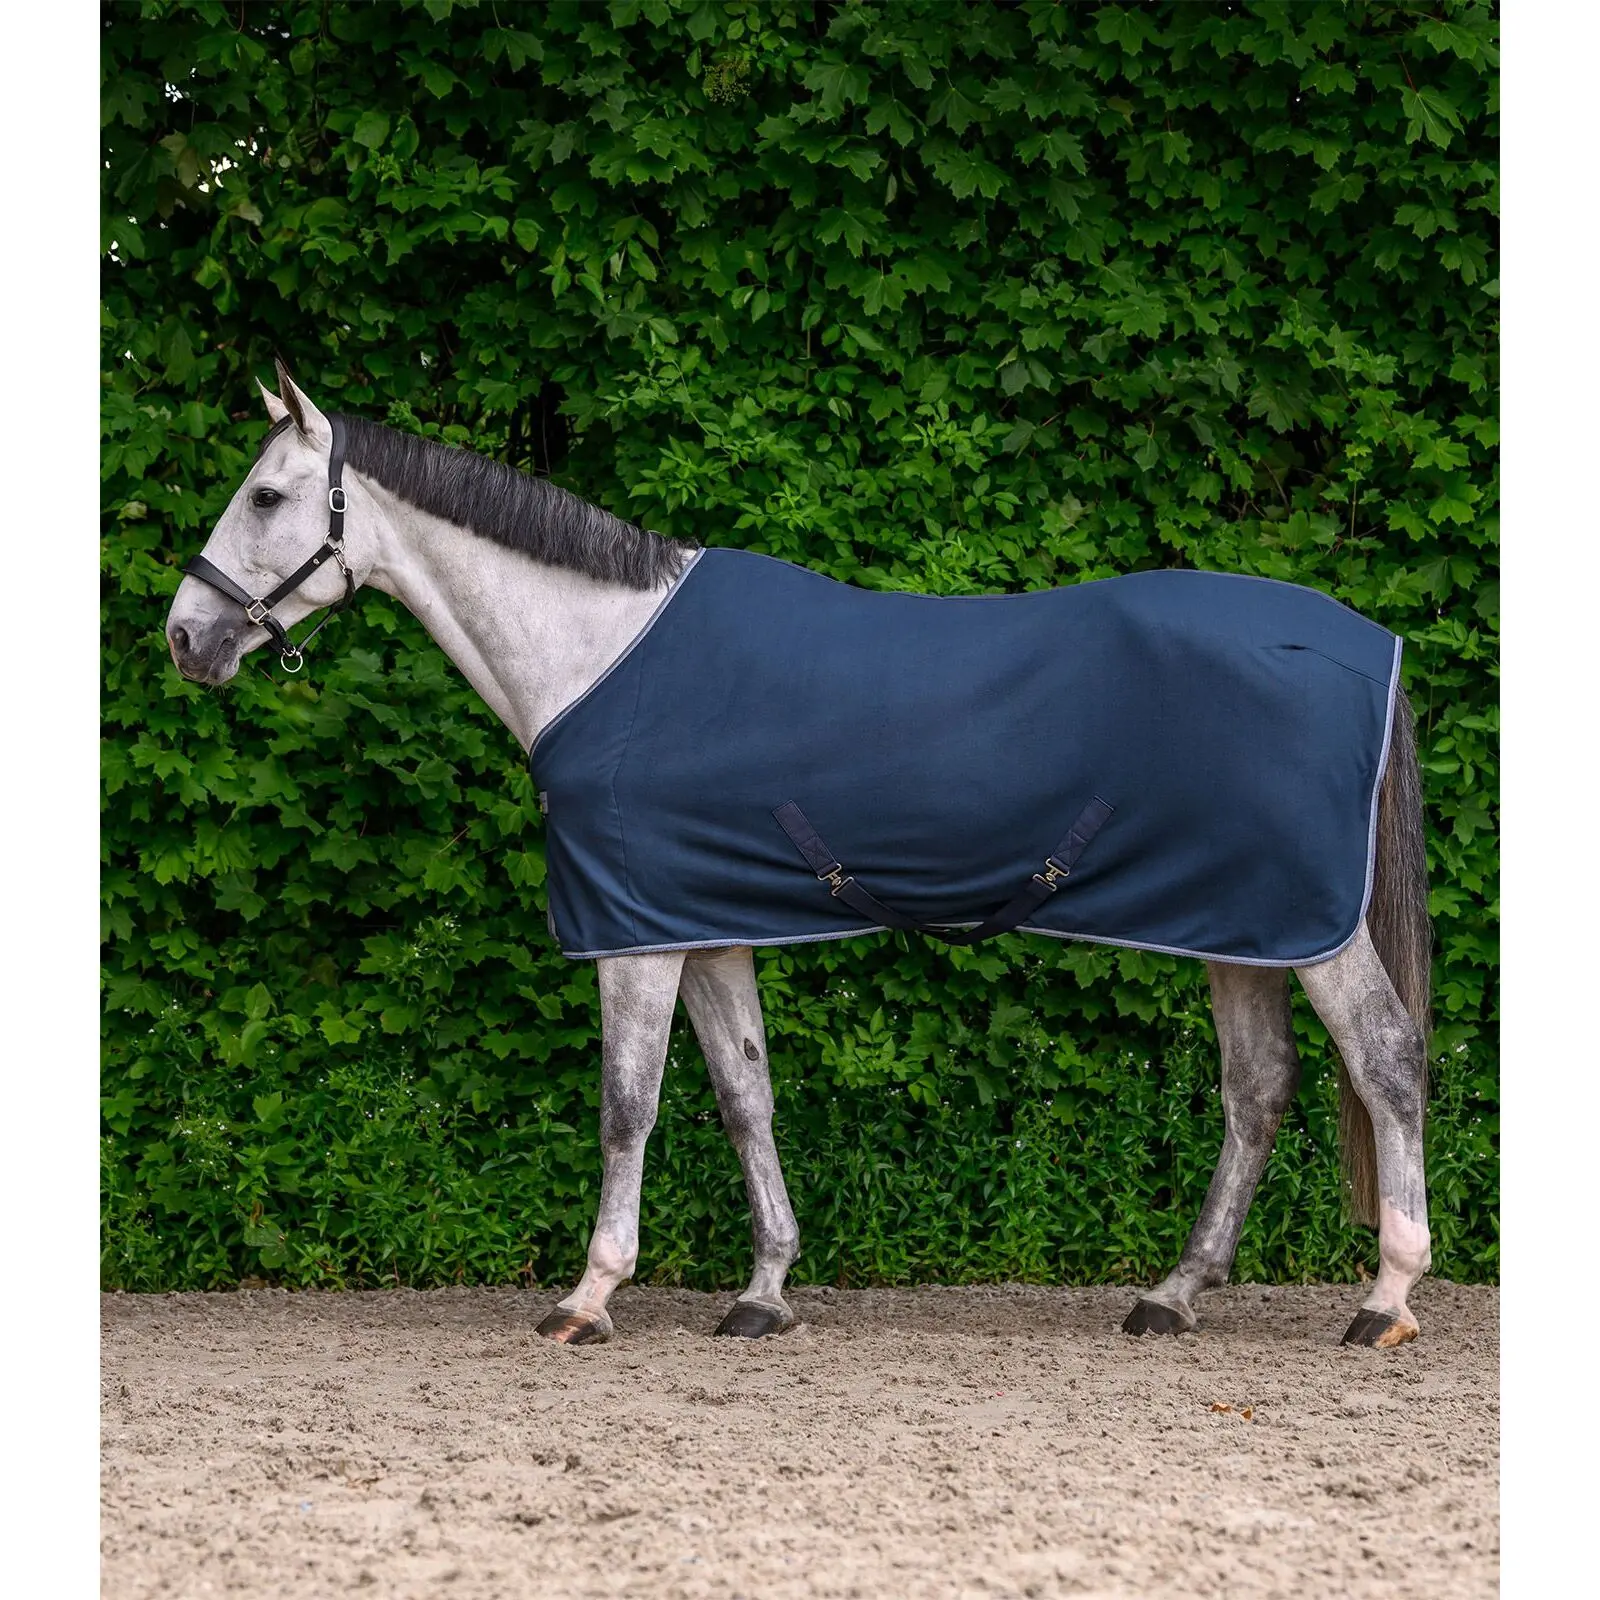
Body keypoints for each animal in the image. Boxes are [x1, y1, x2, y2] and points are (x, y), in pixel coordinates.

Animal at [163, 363, 1434, 1350]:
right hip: (1243, 924)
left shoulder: (635, 935)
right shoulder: (702, 921)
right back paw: (1172, 1294)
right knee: (1256, 1090)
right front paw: (765, 1290)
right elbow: (745, 1093)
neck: (599, 652)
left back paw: (1384, 1299)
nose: (185, 637)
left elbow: (627, 1105)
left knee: (1383, 1057)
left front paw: (588, 1296)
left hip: (1308, 927)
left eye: (267, 493)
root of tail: (1364, 642)